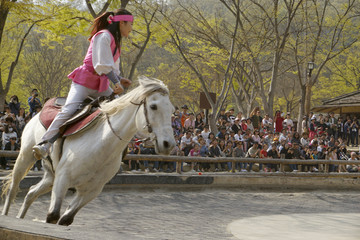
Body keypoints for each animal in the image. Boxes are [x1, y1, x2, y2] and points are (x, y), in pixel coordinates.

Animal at [1, 76, 176, 225]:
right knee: (13, 188)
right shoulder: (63, 179)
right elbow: (53, 216)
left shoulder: (91, 190)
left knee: (31, 193)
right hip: (25, 156)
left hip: (51, 175)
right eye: (153, 106)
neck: (103, 144)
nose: (169, 144)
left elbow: (65, 219)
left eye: (172, 109)